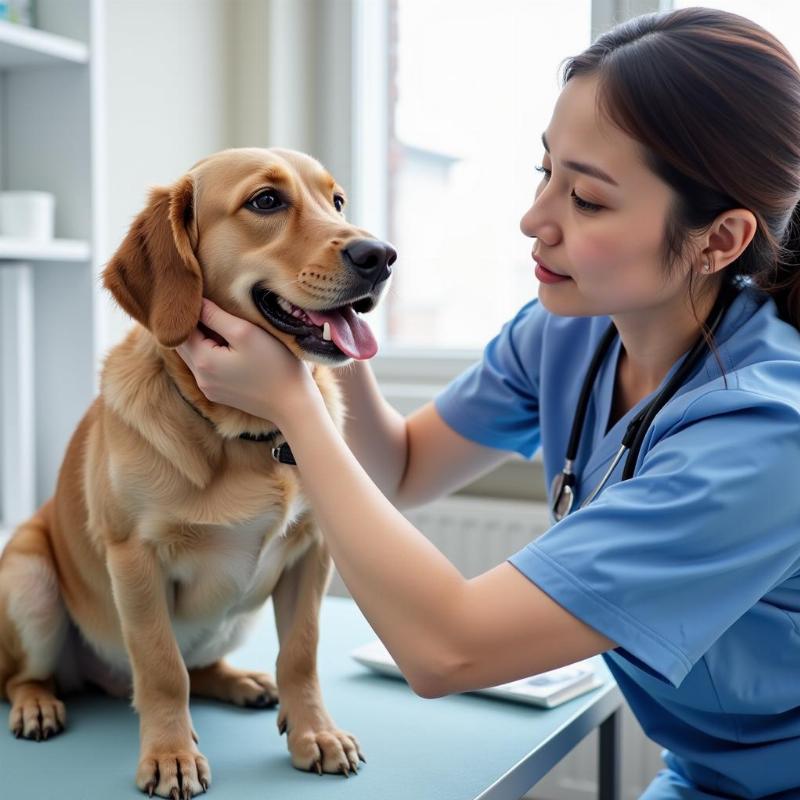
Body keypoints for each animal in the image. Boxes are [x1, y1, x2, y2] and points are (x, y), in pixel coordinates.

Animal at [0, 147, 396, 796]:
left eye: (337, 201)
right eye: (266, 201)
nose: (381, 256)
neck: (246, 434)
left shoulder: (312, 552)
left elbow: (301, 654)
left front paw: (315, 731)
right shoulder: (135, 559)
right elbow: (163, 669)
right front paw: (170, 754)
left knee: (204, 666)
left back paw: (241, 682)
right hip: (29, 579)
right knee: (25, 677)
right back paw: (38, 703)